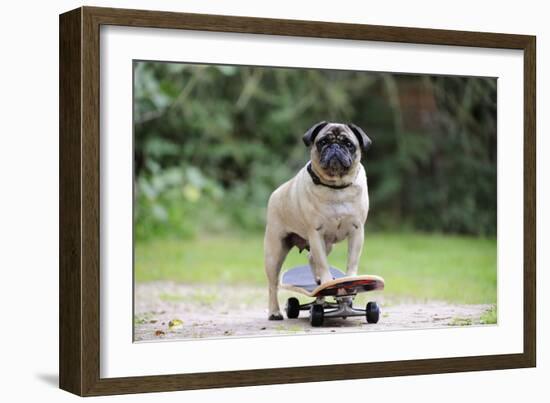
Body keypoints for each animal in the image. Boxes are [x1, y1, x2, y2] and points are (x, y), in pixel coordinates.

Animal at [264, 121, 376, 320]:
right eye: (322, 142)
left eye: (348, 144)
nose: (335, 147)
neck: (336, 187)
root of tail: (276, 192)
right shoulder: (315, 233)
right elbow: (322, 263)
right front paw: (326, 282)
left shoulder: (357, 232)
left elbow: (351, 261)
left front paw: (348, 282)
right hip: (274, 252)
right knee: (273, 284)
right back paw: (275, 312)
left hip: (327, 243)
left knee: (311, 257)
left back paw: (319, 284)